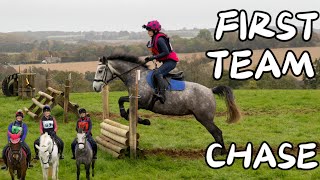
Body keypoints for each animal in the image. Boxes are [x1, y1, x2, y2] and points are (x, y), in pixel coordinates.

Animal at [92, 54, 240, 155]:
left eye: (100, 71)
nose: (95, 88)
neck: (136, 76)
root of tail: (210, 90)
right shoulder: (137, 102)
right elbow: (125, 107)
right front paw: (142, 121)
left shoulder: (142, 101)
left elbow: (123, 104)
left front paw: (142, 120)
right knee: (216, 132)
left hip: (204, 118)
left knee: (217, 132)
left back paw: (222, 152)